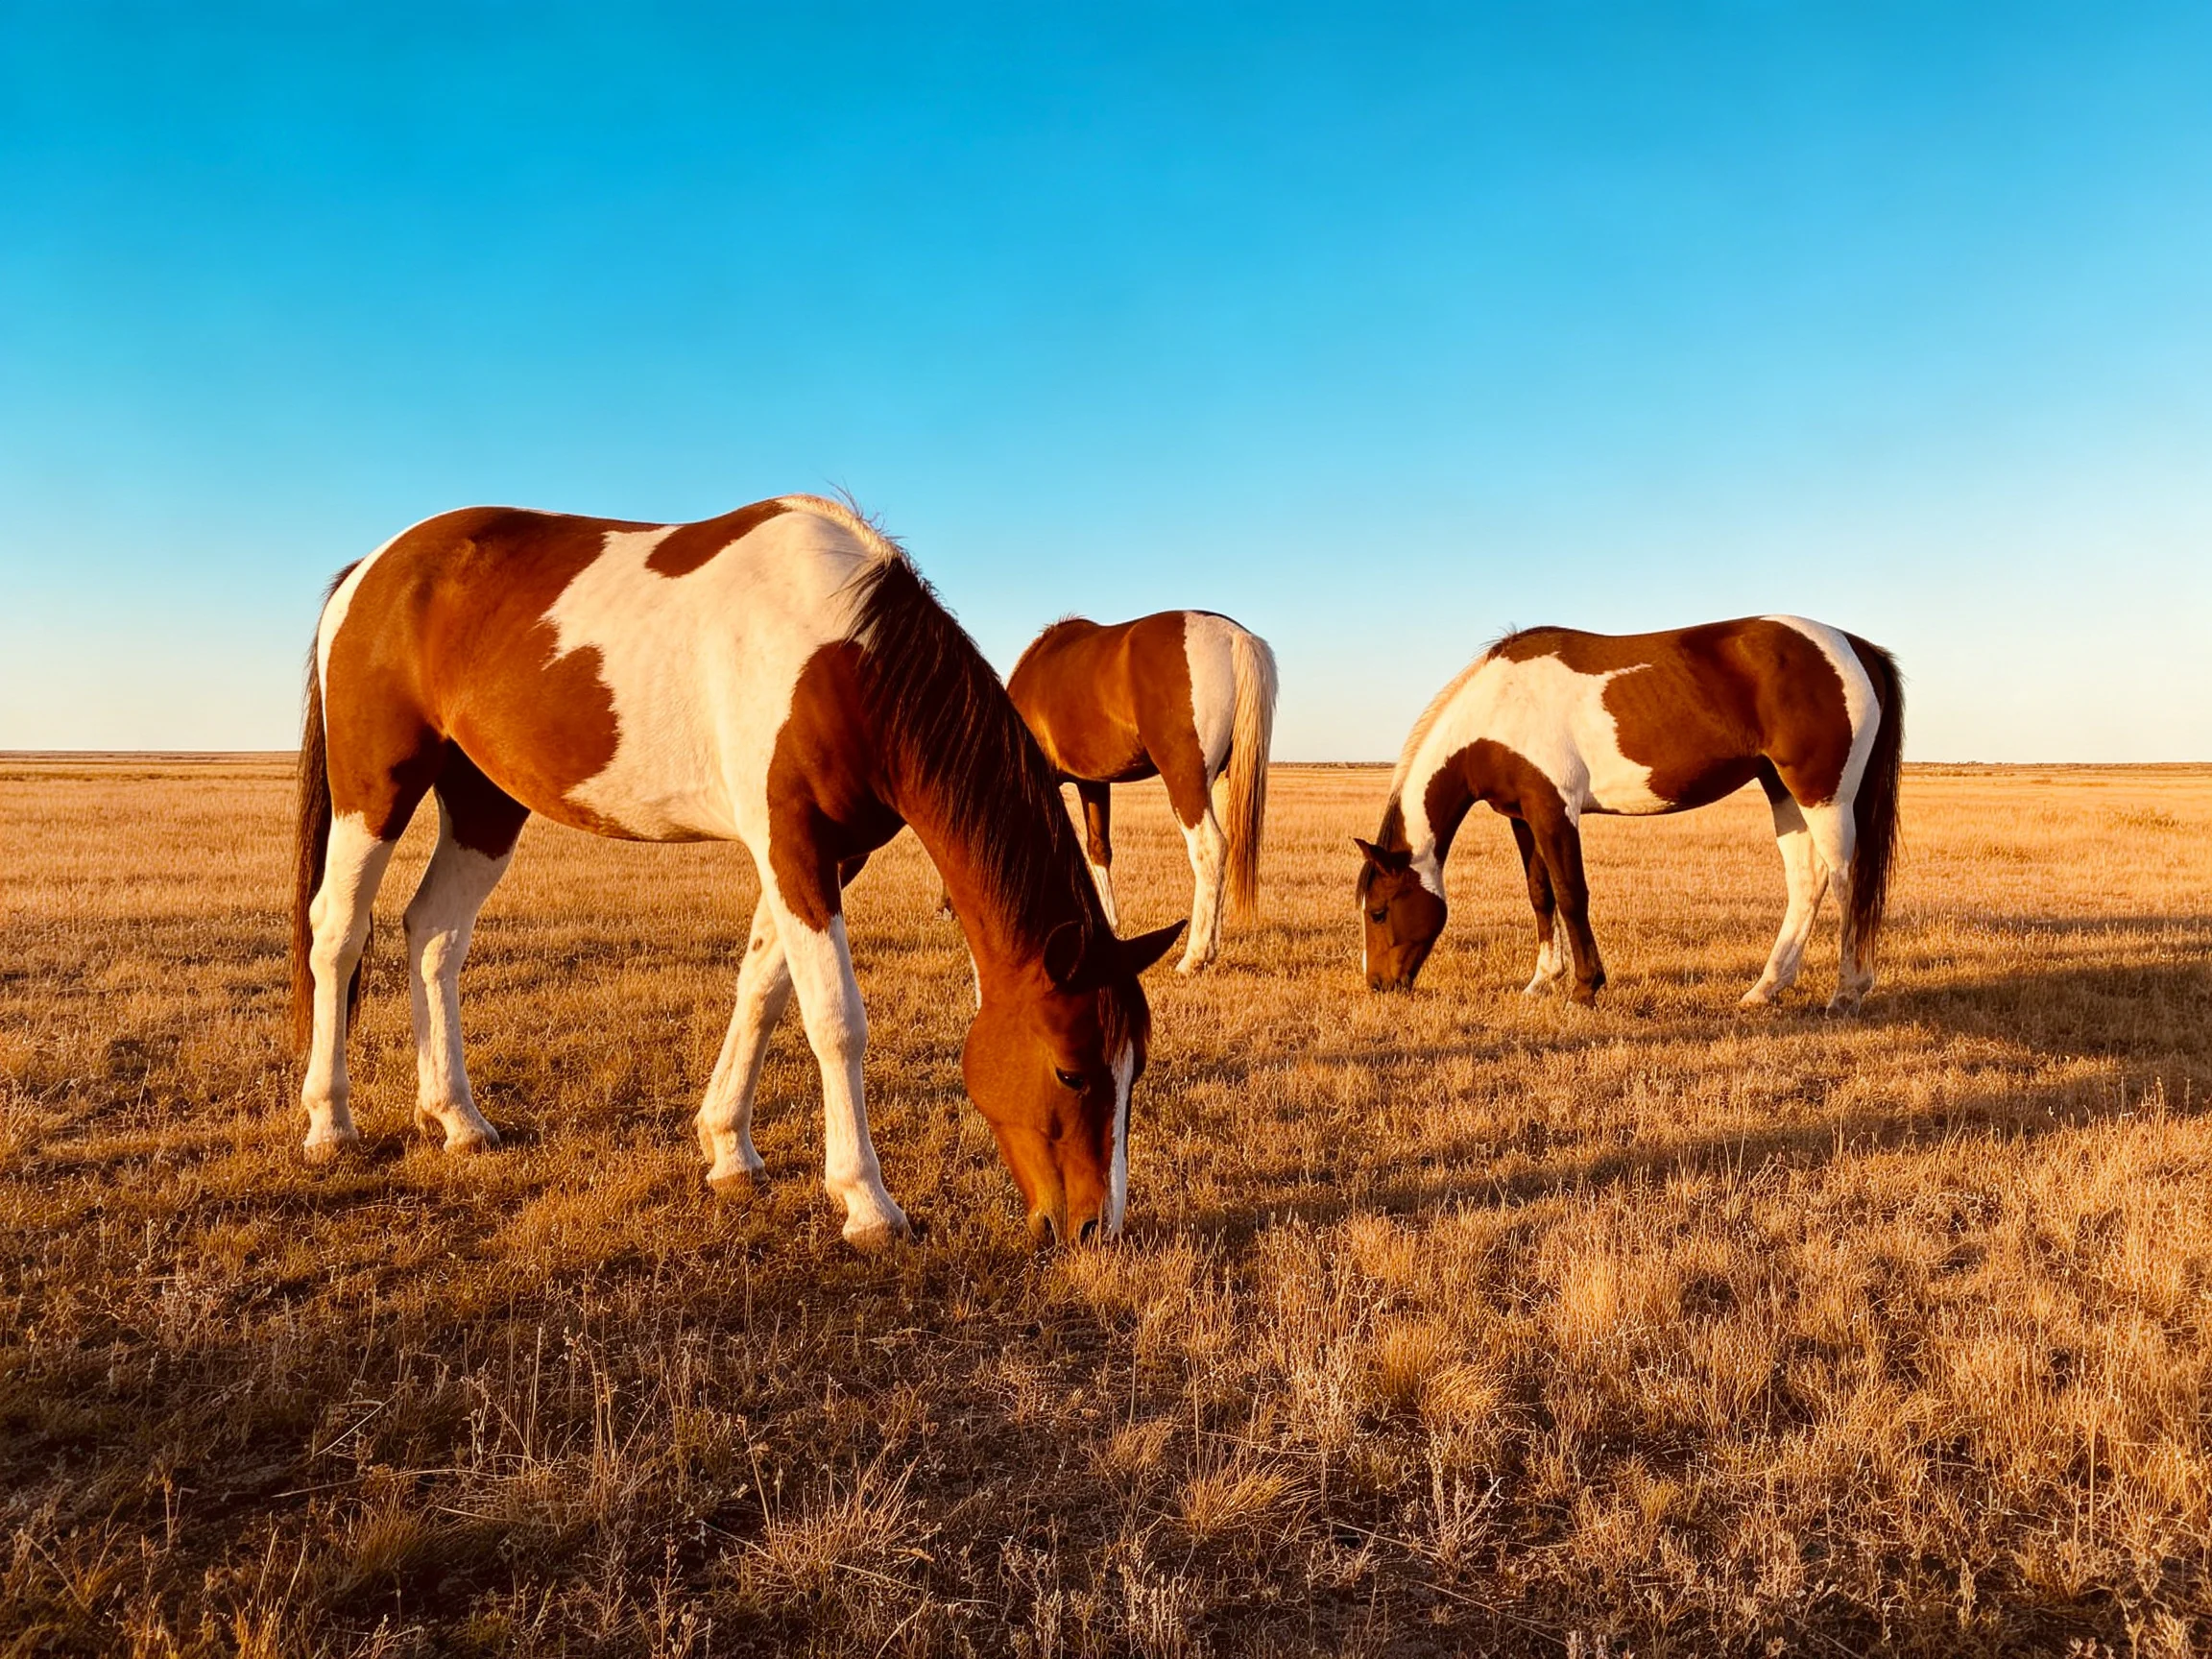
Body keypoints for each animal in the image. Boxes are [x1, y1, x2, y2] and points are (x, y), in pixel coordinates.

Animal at [291, 494, 1185, 1250]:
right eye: (1071, 1071)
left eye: (1134, 1067)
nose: (1093, 1229)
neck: (843, 656)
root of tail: (370, 569)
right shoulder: (791, 845)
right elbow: (835, 1019)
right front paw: (867, 1202)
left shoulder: (827, 856)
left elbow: (763, 990)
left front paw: (729, 1151)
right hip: (376, 789)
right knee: (338, 935)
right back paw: (329, 1123)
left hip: (484, 806)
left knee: (434, 935)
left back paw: (456, 1117)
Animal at [1005, 611, 1278, 974]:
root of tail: (1233, 636)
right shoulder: (1093, 783)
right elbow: (1098, 849)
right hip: (1224, 780)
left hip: (1185, 781)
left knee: (1210, 848)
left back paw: (1194, 957)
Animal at [1355, 616, 1902, 1012]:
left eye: (1379, 910)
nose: (1379, 985)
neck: (1498, 708)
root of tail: (1857, 646)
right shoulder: (1522, 815)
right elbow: (1540, 894)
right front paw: (1541, 981)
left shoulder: (1554, 808)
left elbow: (1571, 894)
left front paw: (1584, 989)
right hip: (1783, 792)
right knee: (1807, 882)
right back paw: (1764, 989)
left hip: (1824, 795)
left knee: (1846, 882)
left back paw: (1847, 991)